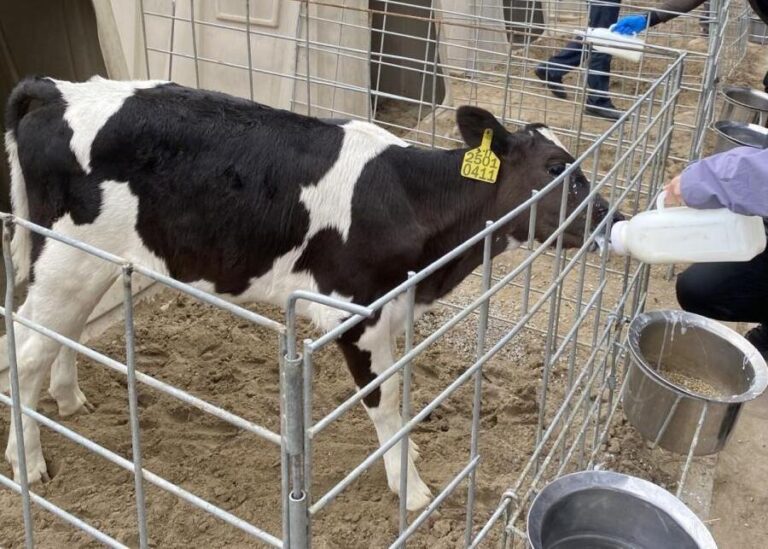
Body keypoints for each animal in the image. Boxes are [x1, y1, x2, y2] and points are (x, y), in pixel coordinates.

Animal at [1, 76, 619, 511]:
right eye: (559, 168)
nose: (612, 220)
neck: (408, 200)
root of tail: (55, 89)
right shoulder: (354, 314)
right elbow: (385, 403)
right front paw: (411, 488)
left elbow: (402, 391)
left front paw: (410, 456)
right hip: (65, 258)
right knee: (26, 350)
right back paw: (26, 463)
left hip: (98, 265)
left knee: (62, 335)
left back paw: (69, 401)